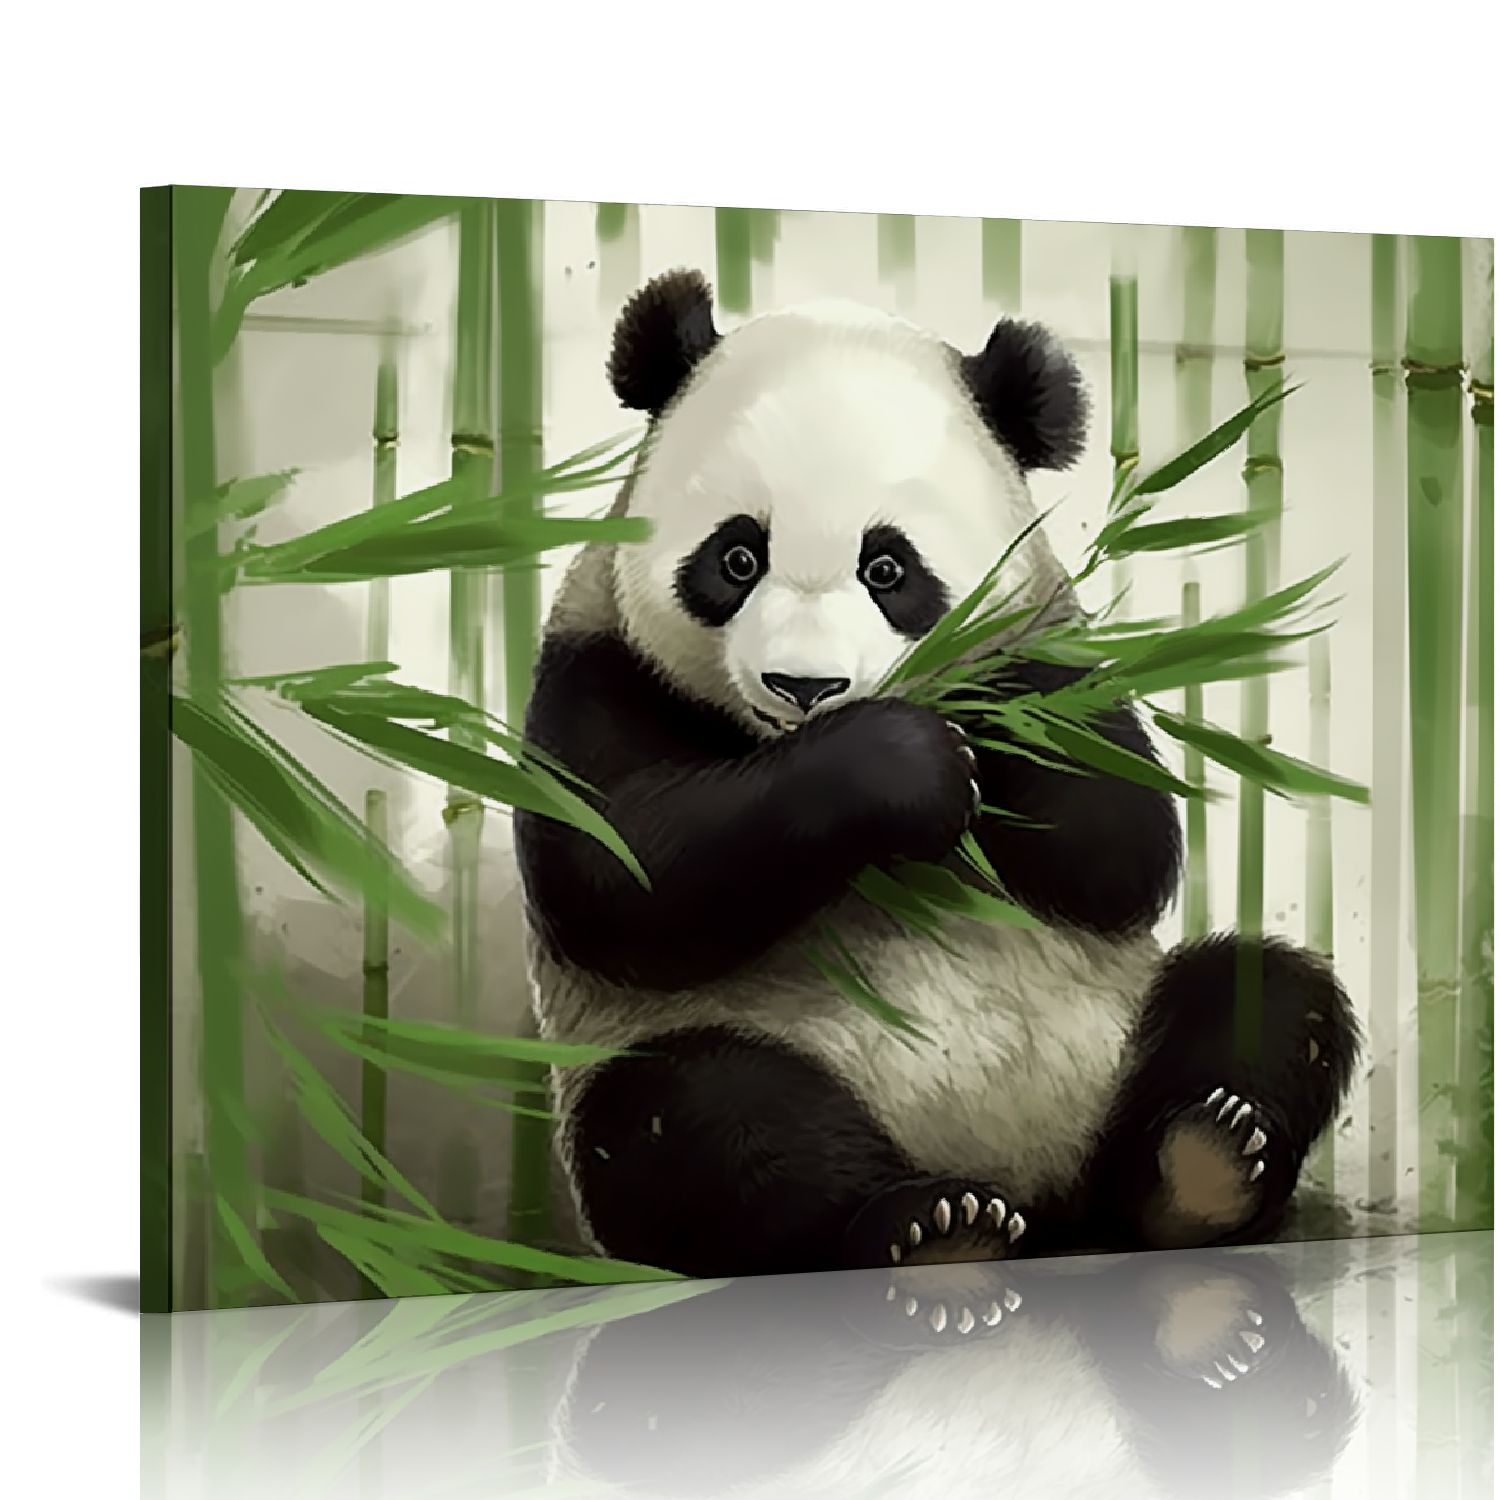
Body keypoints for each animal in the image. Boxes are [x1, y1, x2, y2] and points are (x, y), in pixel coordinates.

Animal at [513, 268, 1360, 1278]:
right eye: (737, 557)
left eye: (888, 568)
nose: (806, 687)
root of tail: (1039, 1201)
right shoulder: (598, 661)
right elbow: (618, 873)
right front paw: (899, 764)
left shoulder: (1050, 648)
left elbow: (1123, 841)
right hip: (706, 1058)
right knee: (699, 1124)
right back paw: (930, 1227)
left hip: (1113, 1048)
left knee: (1265, 999)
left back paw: (1201, 1167)